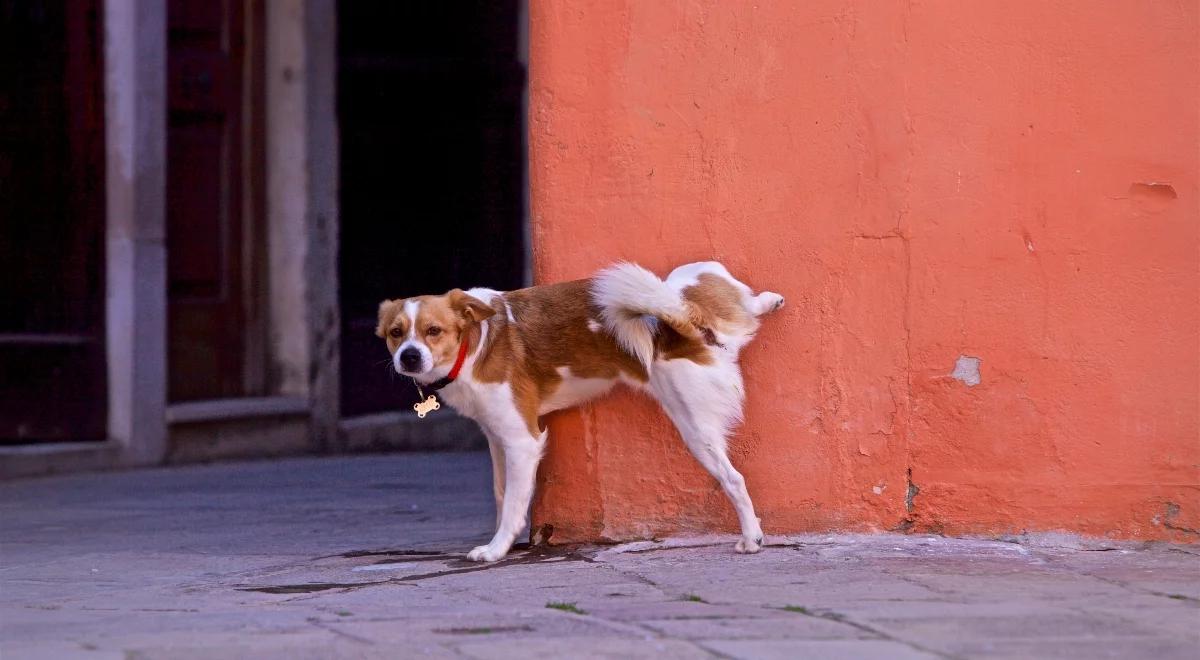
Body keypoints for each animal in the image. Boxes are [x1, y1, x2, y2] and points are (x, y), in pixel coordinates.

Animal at [376, 261, 787, 561]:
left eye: (433, 331)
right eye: (396, 333)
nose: (408, 357)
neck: (475, 343)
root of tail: (685, 318)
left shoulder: (522, 441)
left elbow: (514, 503)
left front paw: (496, 549)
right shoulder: (495, 437)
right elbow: (501, 494)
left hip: (694, 424)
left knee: (734, 479)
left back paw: (752, 537)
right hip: (687, 279)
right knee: (734, 295)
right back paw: (767, 300)